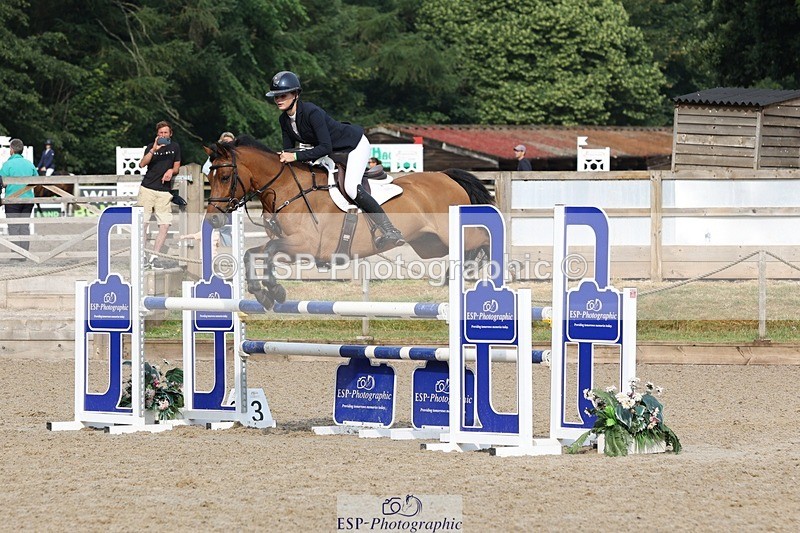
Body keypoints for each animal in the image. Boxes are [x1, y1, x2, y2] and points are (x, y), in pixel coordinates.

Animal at [203, 136, 493, 309]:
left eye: (226, 176)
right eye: (209, 176)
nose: (213, 218)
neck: (287, 189)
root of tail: (448, 176)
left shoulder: (306, 246)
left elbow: (270, 251)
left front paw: (274, 289)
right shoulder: (288, 244)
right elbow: (253, 253)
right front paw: (262, 293)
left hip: (449, 235)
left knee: (484, 238)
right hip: (429, 244)